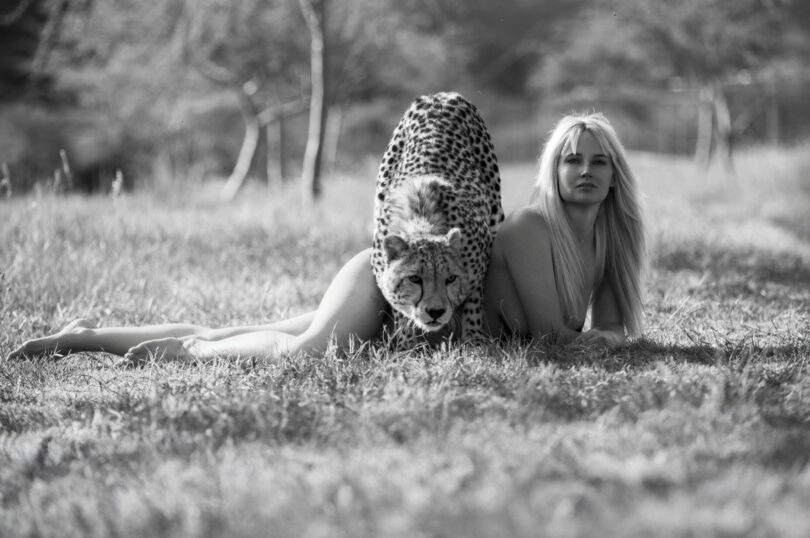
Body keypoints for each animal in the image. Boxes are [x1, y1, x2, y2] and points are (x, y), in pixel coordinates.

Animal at [371, 92, 504, 346]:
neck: (423, 224)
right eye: (414, 279)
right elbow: (400, 309)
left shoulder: (480, 263)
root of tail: (441, 95)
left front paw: (474, 340)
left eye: (450, 278)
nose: (436, 312)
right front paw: (407, 344)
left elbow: (474, 299)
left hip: (495, 211)